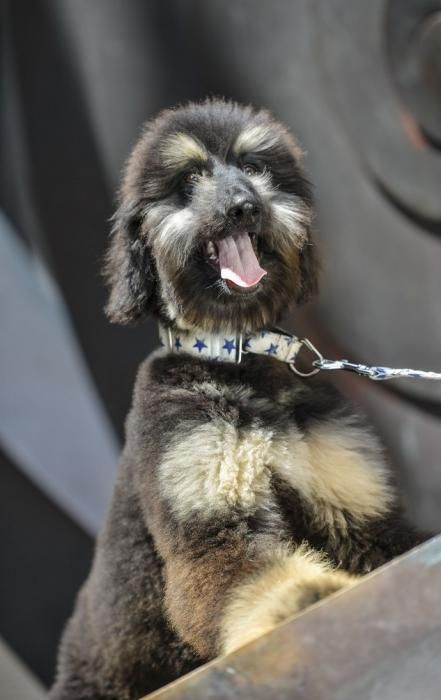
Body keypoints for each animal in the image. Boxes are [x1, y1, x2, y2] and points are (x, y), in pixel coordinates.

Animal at [49, 100, 424, 700]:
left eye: (256, 167)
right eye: (189, 180)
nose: (244, 207)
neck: (241, 360)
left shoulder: (359, 515)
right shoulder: (214, 533)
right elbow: (261, 583)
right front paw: (307, 596)